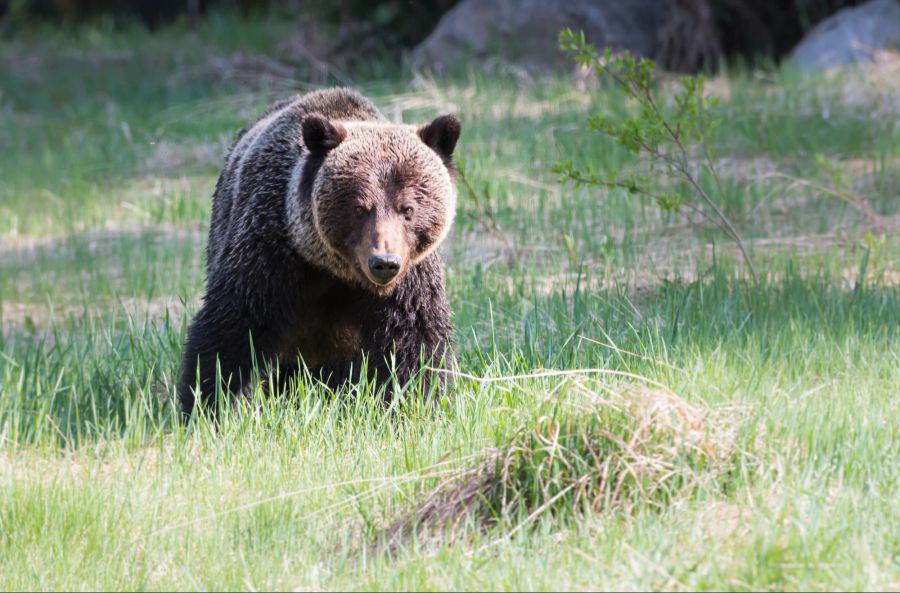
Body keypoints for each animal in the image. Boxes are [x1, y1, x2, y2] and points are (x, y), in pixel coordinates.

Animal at [177, 88, 460, 418]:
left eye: (408, 209)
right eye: (360, 208)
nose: (384, 263)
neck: (336, 271)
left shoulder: (410, 279)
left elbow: (413, 340)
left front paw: (414, 402)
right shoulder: (273, 254)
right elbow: (235, 326)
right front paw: (212, 403)